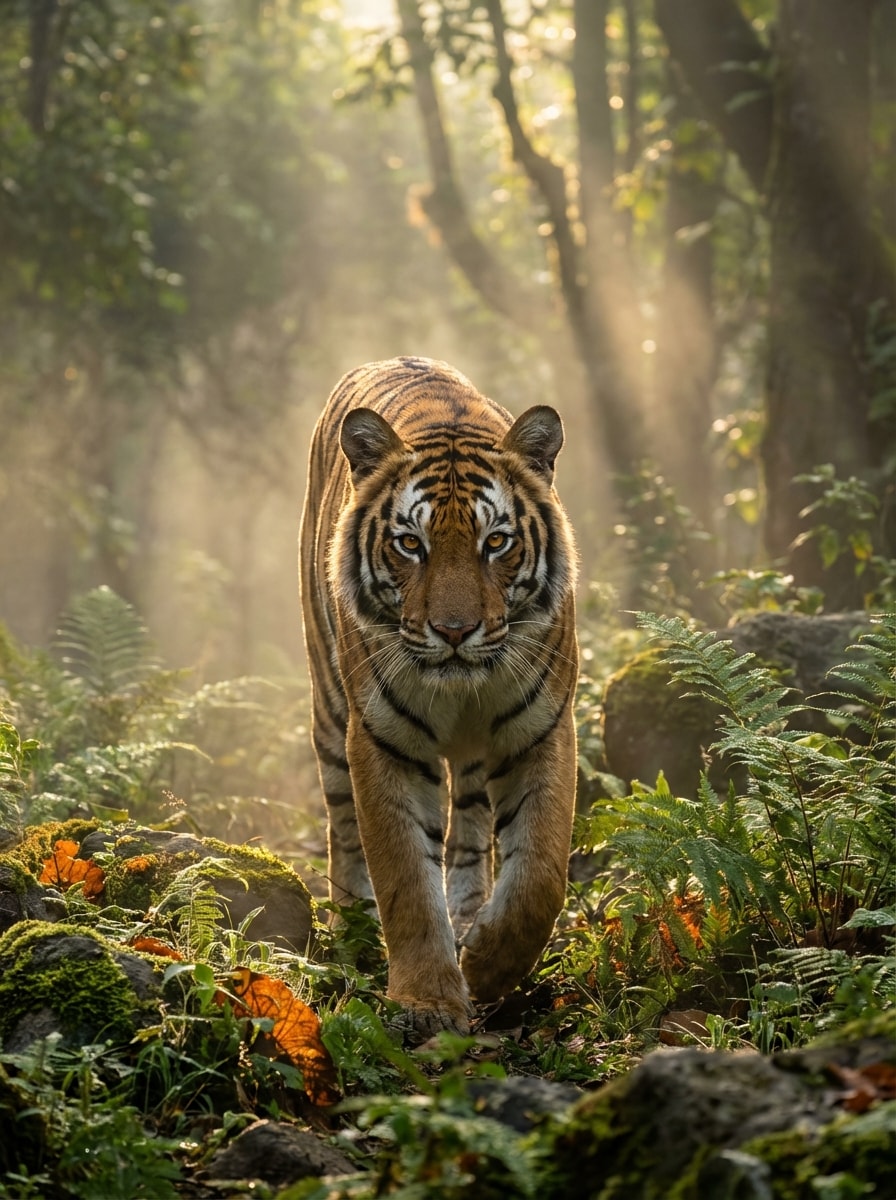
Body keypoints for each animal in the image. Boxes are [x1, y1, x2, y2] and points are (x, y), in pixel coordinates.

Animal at [299, 356, 578, 1038]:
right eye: (410, 544)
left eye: (496, 542)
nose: (454, 631)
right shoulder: (384, 742)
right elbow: (404, 881)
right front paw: (427, 1004)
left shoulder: (542, 729)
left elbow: (540, 877)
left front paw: (485, 968)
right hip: (330, 709)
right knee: (343, 826)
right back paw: (352, 932)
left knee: (472, 827)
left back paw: (469, 913)